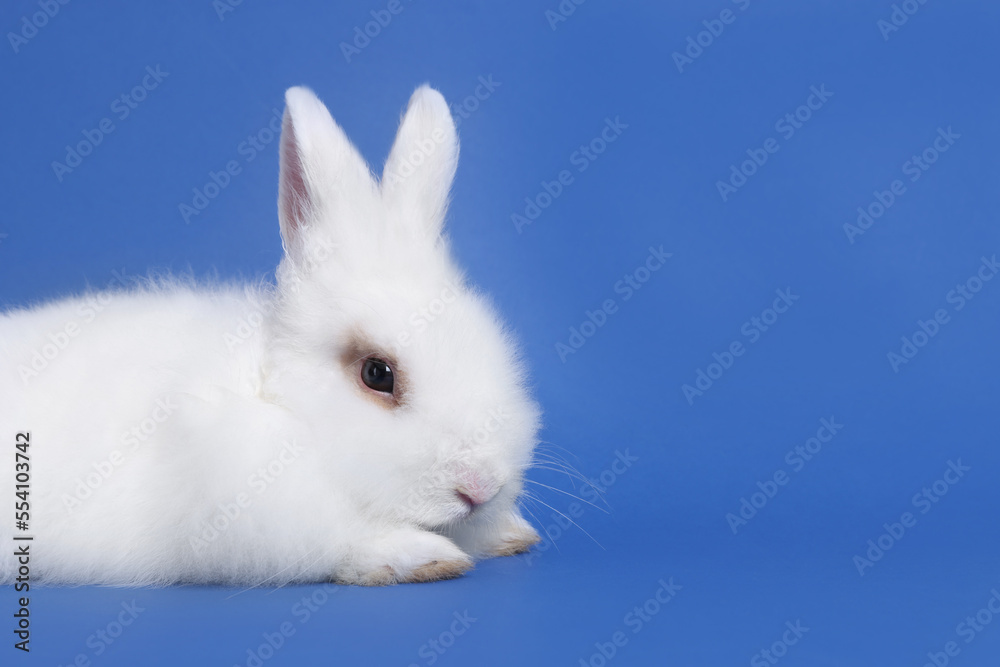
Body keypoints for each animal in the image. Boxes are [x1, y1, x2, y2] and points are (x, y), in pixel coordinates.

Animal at [0, 86, 544, 588]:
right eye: (377, 373)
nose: (481, 486)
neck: (277, 402)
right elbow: (344, 533)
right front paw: (423, 556)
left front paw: (510, 533)